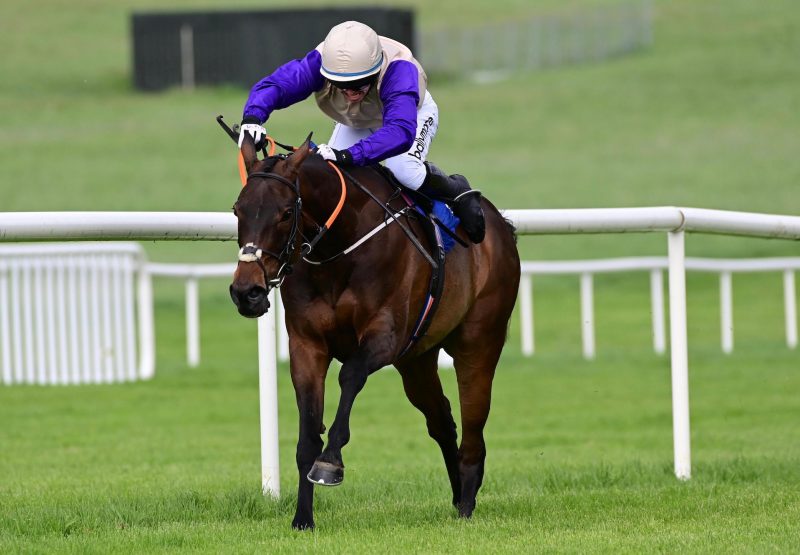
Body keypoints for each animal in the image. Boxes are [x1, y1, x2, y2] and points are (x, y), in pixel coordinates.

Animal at [228, 134, 520, 528]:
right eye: (238, 210)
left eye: (286, 212)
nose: (247, 291)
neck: (339, 248)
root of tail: (500, 225)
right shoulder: (307, 345)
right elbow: (307, 436)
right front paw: (303, 518)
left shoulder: (385, 336)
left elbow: (351, 375)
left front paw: (330, 463)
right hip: (417, 360)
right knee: (442, 420)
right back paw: (459, 495)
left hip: (479, 342)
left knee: (474, 425)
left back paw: (467, 504)